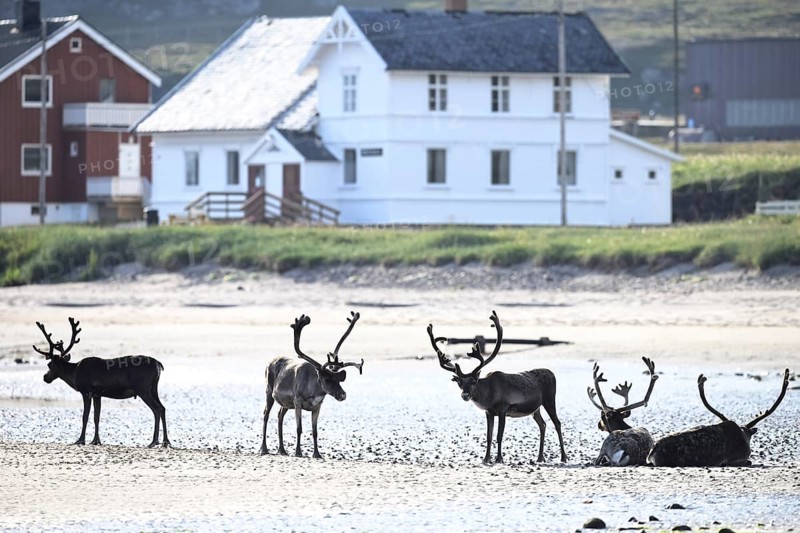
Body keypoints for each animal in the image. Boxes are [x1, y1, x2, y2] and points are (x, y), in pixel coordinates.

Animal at [33, 317, 170, 448]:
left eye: (49, 364)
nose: (45, 377)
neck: (74, 373)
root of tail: (159, 365)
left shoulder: (86, 391)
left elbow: (85, 416)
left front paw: (80, 440)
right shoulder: (97, 394)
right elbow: (96, 417)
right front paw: (96, 440)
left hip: (143, 388)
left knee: (156, 409)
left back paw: (154, 441)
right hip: (153, 388)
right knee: (163, 407)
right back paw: (165, 441)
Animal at [260, 312, 364, 459]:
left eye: (338, 380)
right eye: (327, 379)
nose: (343, 394)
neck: (313, 389)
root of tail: (270, 361)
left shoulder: (317, 406)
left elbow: (315, 431)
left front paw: (317, 454)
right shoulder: (297, 401)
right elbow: (299, 428)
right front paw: (298, 452)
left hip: (286, 403)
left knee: (280, 416)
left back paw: (282, 450)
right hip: (269, 392)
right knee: (266, 415)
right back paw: (264, 448)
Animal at [428, 311, 567, 465]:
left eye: (474, 381)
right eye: (459, 383)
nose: (465, 395)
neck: (489, 395)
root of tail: (552, 373)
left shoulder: (502, 409)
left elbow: (499, 435)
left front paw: (499, 458)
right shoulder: (489, 412)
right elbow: (488, 436)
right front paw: (486, 458)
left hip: (549, 400)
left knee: (557, 423)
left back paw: (563, 457)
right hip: (535, 408)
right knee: (542, 424)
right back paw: (540, 457)